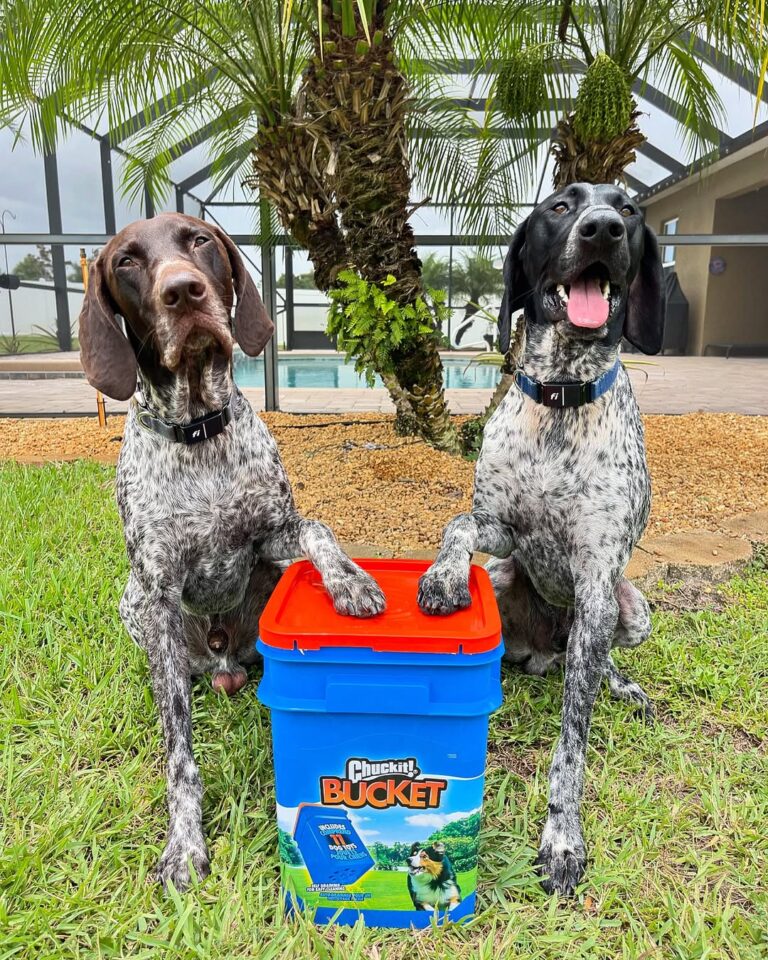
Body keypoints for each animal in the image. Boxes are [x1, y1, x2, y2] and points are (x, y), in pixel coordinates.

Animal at [416, 184, 664, 896]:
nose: (603, 229)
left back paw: (620, 684)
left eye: (629, 209)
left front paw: (562, 839)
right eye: (559, 206)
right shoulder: (500, 530)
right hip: (504, 580)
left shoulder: (596, 577)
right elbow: (458, 524)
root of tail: (549, 646)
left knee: (599, 658)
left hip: (626, 611)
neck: (562, 395)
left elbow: (571, 748)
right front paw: (441, 578)